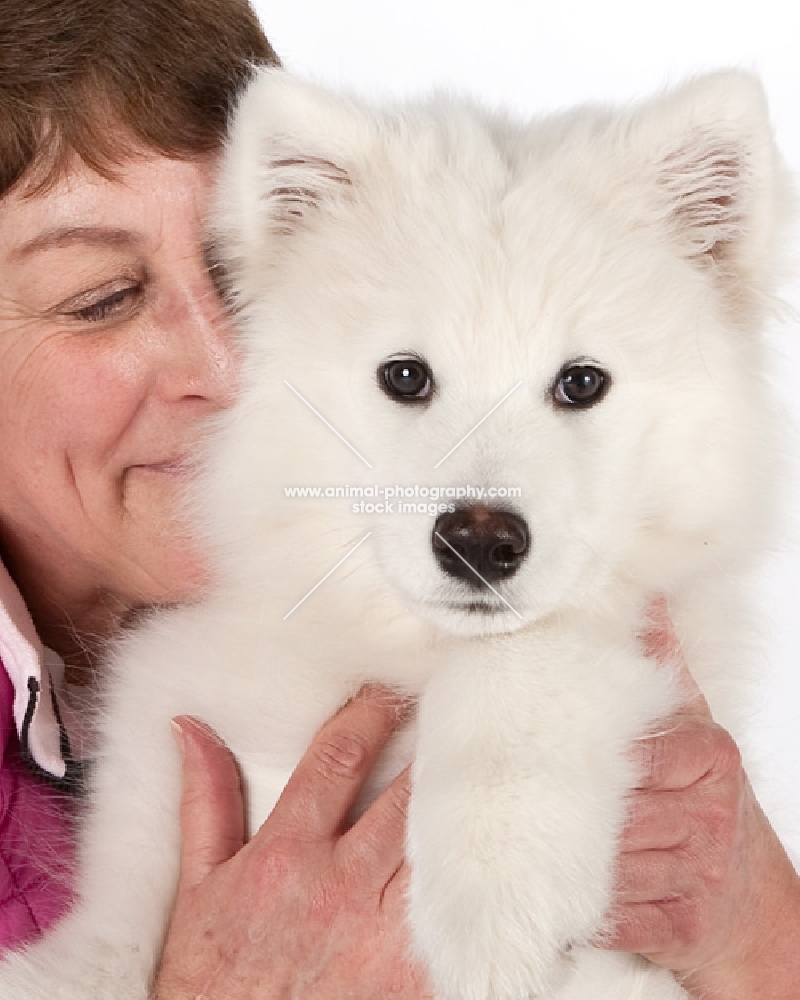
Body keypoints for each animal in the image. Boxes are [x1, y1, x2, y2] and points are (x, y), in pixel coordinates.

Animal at [0, 70, 788, 1000]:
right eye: (405, 376)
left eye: (582, 383)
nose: (479, 543)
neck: (395, 646)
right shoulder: (147, 809)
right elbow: (97, 953)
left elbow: (527, 654)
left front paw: (496, 901)